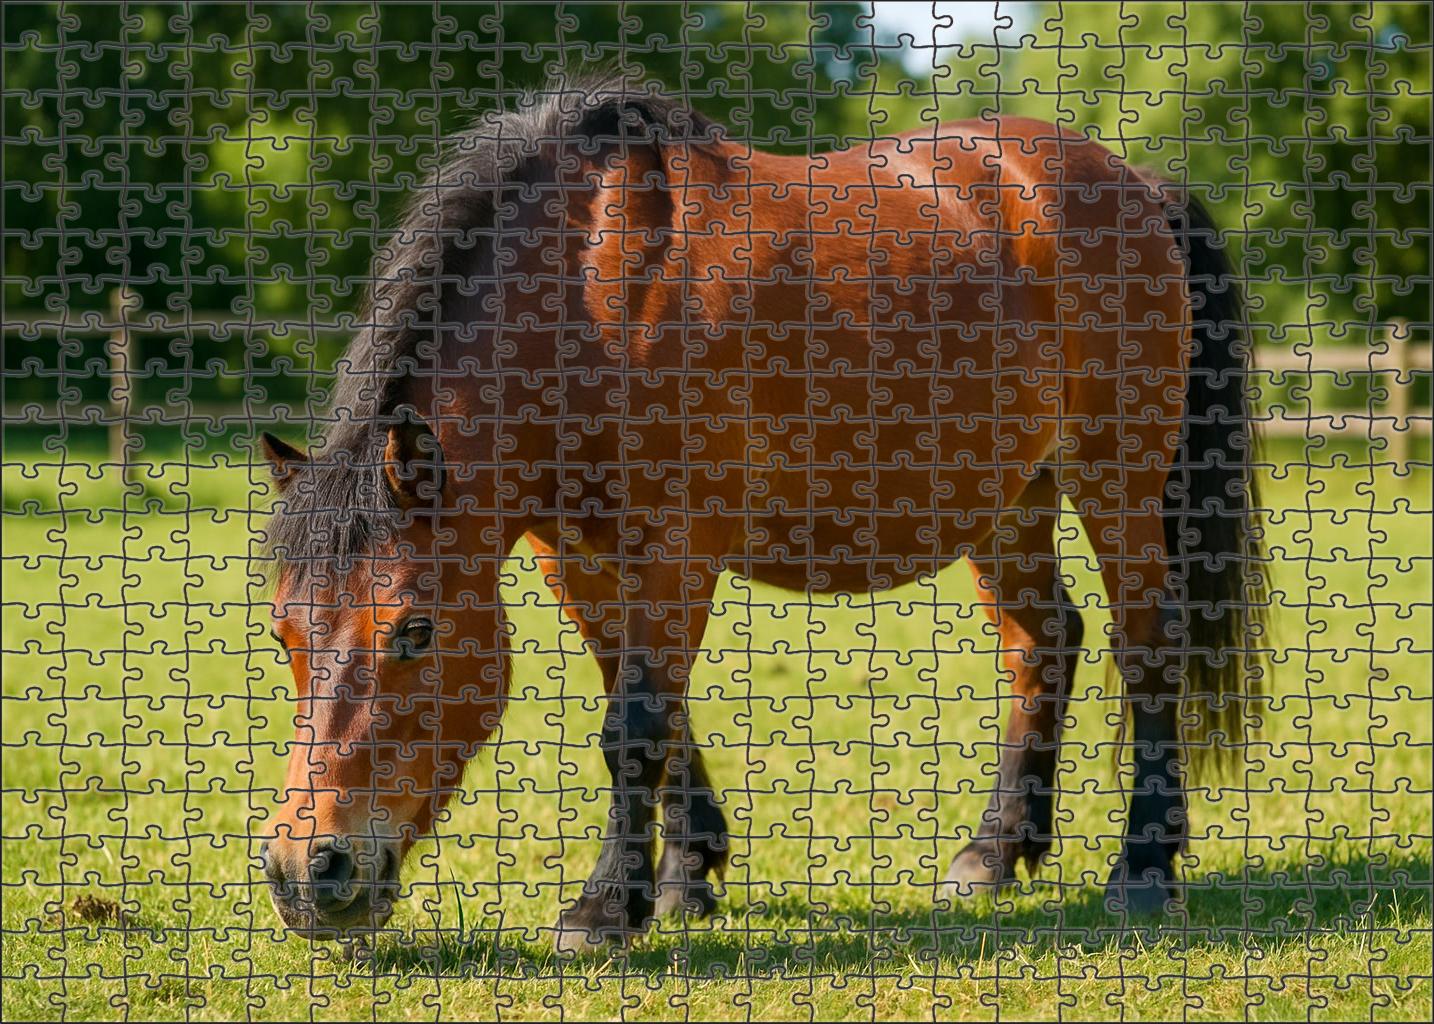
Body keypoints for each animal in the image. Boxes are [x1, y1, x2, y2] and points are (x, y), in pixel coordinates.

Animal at [257, 73, 1266, 954]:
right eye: (284, 634)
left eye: (415, 631)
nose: (308, 873)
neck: (590, 294)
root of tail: (1134, 184)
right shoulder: (574, 559)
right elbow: (651, 708)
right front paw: (682, 876)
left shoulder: (674, 551)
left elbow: (636, 723)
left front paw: (604, 910)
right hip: (1010, 500)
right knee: (1043, 640)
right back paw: (992, 851)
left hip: (1115, 480)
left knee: (1147, 645)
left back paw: (1144, 871)